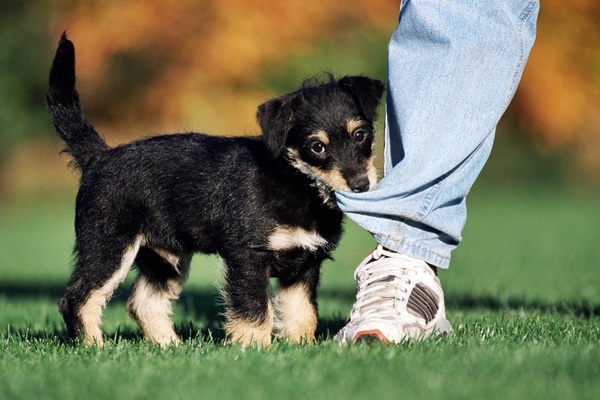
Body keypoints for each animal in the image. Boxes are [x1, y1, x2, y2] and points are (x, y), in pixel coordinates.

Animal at [48, 34, 384, 346]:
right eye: (317, 147)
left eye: (360, 135)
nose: (361, 185)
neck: (295, 181)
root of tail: (98, 157)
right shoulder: (249, 258)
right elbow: (255, 311)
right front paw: (254, 349)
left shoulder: (305, 263)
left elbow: (302, 312)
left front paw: (300, 346)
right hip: (108, 246)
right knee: (77, 299)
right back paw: (95, 347)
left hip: (164, 257)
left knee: (144, 302)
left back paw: (169, 347)